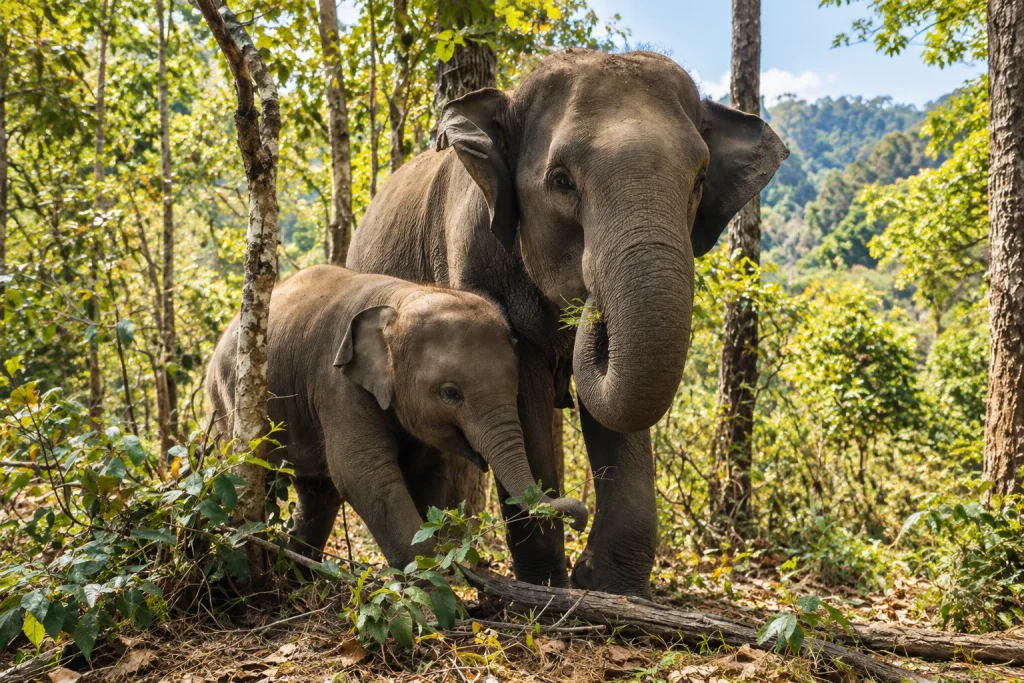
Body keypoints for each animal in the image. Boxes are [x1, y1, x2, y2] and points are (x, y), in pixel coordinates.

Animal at [205, 265, 588, 570]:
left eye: (516, 388)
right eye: (451, 393)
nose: (579, 517)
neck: (401, 297)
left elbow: (425, 473)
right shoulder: (337, 384)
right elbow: (363, 474)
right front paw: (434, 585)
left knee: (318, 493)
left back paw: (299, 572)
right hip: (228, 401)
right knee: (256, 474)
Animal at [347, 49, 788, 596]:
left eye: (700, 180)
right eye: (561, 181)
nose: (590, 304)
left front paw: (612, 587)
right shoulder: (471, 258)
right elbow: (526, 395)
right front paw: (549, 583)